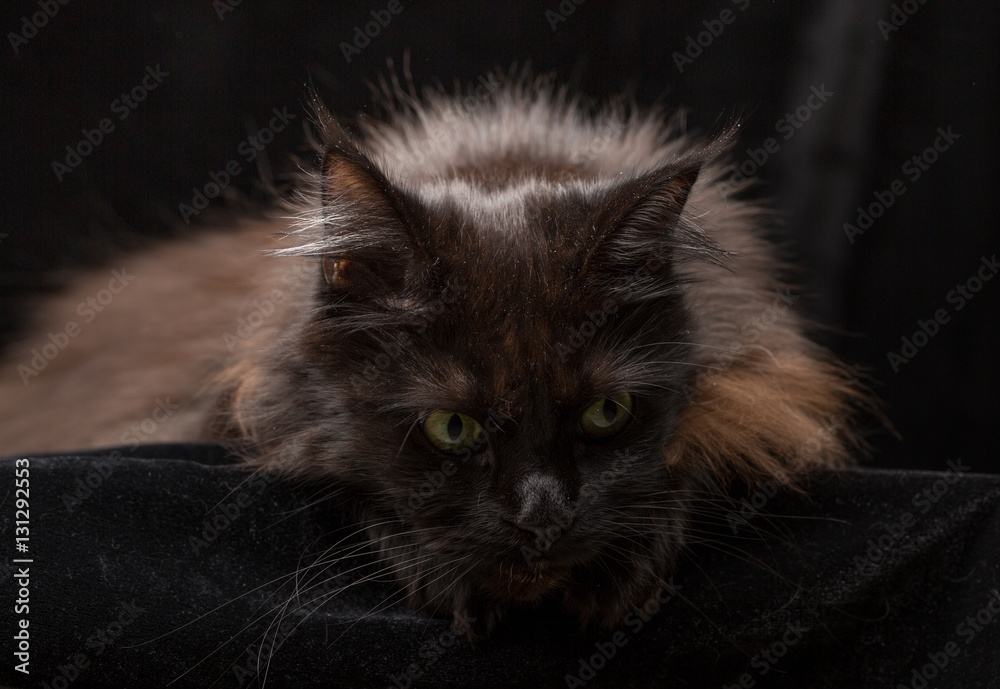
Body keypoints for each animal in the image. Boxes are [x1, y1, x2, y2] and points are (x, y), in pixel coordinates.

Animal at [0, 75, 860, 636]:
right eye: (453, 427)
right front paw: (444, 578)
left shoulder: (766, 381)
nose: (543, 520)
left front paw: (623, 572)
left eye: (605, 412)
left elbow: (702, 450)